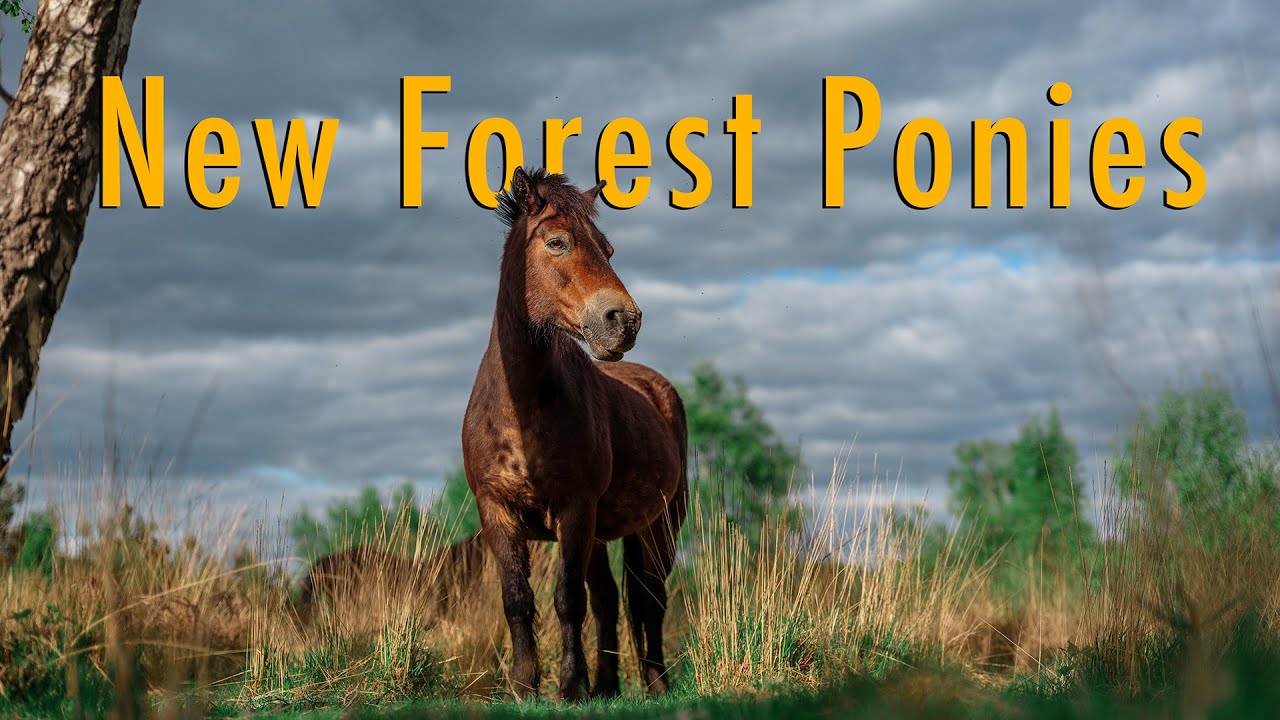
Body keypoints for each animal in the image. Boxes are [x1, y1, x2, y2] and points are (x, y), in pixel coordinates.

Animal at [461, 167, 688, 701]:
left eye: (607, 249)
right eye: (557, 242)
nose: (624, 320)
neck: (522, 409)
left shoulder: (575, 508)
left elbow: (568, 598)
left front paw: (571, 684)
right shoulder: (496, 512)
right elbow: (518, 599)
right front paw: (524, 685)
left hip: (660, 524)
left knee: (649, 600)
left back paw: (655, 682)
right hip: (602, 535)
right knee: (609, 598)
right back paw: (607, 684)